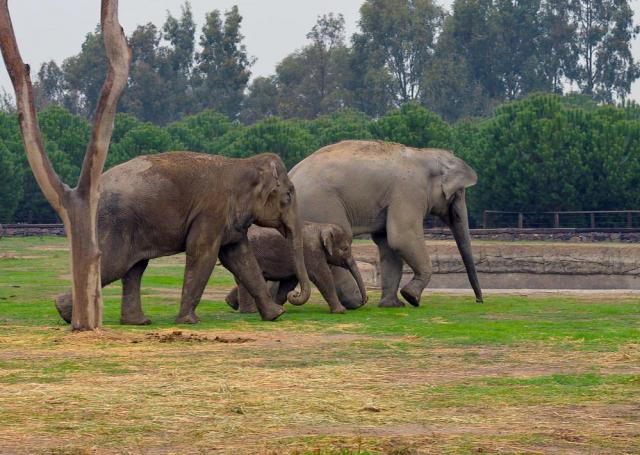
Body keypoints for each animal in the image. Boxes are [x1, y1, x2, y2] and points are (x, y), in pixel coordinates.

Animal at [56, 152, 312, 324]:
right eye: (289, 195)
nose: (294, 294)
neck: (242, 163)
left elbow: (240, 258)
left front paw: (276, 315)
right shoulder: (211, 212)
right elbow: (203, 255)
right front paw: (188, 321)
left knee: (134, 269)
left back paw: (136, 322)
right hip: (116, 222)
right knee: (115, 264)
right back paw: (65, 313)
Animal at [225, 223, 368, 316]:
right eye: (345, 248)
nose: (363, 301)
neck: (322, 227)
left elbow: (289, 282)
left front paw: (280, 306)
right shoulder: (311, 252)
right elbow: (322, 276)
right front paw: (341, 311)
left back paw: (232, 304)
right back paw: (250, 312)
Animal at [288, 140, 480, 310]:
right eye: (459, 193)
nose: (479, 301)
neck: (425, 154)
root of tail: (290, 176)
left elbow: (388, 244)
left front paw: (393, 305)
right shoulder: (409, 191)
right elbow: (402, 238)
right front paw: (411, 297)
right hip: (321, 204)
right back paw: (355, 302)